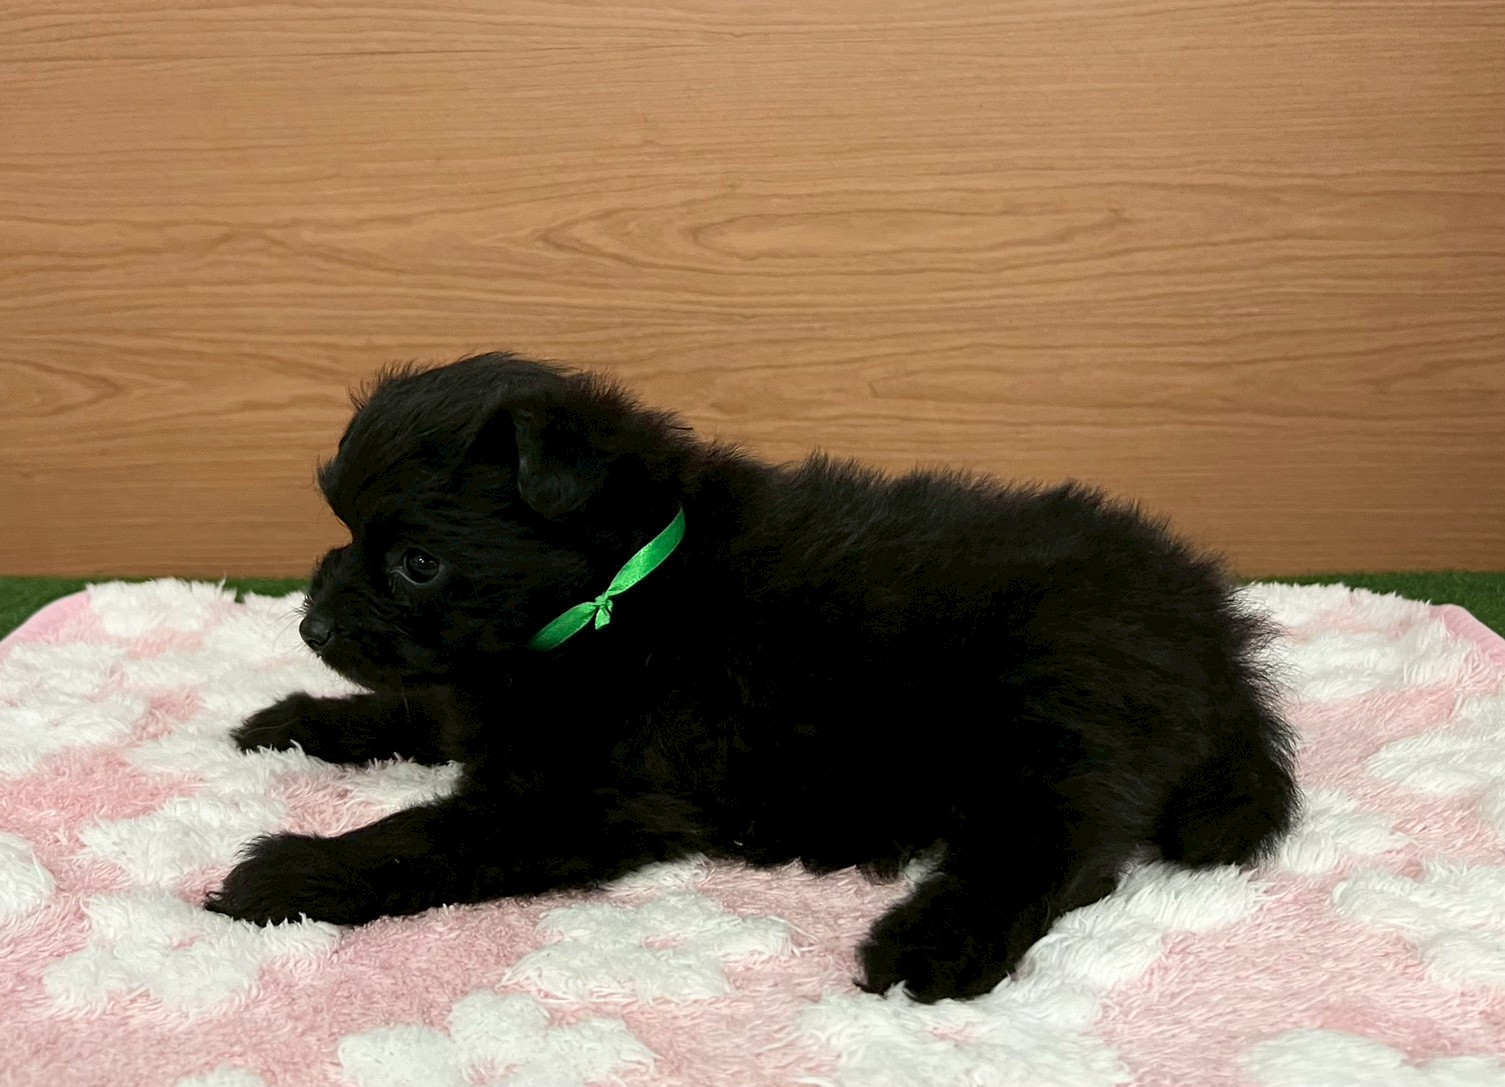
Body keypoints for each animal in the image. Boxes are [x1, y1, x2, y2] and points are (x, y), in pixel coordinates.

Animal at [206, 352, 1298, 1003]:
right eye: (344, 527)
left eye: (418, 562)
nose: (310, 623)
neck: (618, 592)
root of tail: (1212, 628)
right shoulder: (497, 702)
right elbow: (423, 707)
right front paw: (300, 718)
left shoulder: (586, 798)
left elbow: (427, 834)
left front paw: (290, 870)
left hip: (1042, 718)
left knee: (1059, 850)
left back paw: (933, 944)